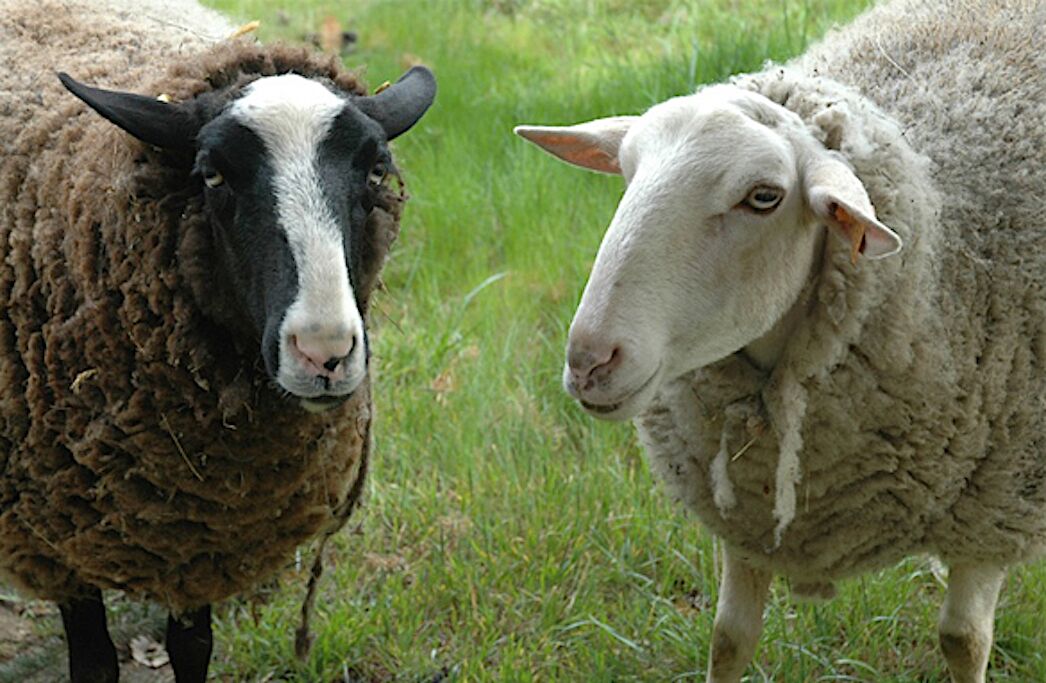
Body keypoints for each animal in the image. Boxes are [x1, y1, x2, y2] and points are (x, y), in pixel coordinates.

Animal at [0, 0, 435, 680]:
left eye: (374, 169)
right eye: (211, 175)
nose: (325, 355)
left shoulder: (203, 531)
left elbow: (193, 650)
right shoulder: (55, 531)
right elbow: (94, 662)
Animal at [514, 0, 1046, 680]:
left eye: (763, 197)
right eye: (627, 172)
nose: (589, 361)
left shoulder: (994, 511)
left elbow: (963, 640)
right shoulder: (746, 509)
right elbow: (728, 639)